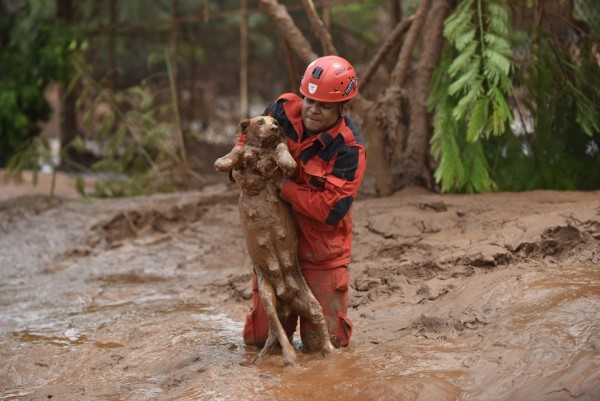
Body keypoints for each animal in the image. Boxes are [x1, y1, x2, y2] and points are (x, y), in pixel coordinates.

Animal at [213, 115, 336, 366]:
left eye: (276, 121)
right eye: (260, 121)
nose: (275, 128)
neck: (262, 150)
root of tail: (287, 301)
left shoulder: (280, 160)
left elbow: (281, 149)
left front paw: (287, 160)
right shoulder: (245, 155)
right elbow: (238, 151)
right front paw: (224, 161)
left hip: (311, 302)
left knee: (317, 323)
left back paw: (324, 353)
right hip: (267, 295)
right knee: (279, 329)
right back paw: (290, 356)